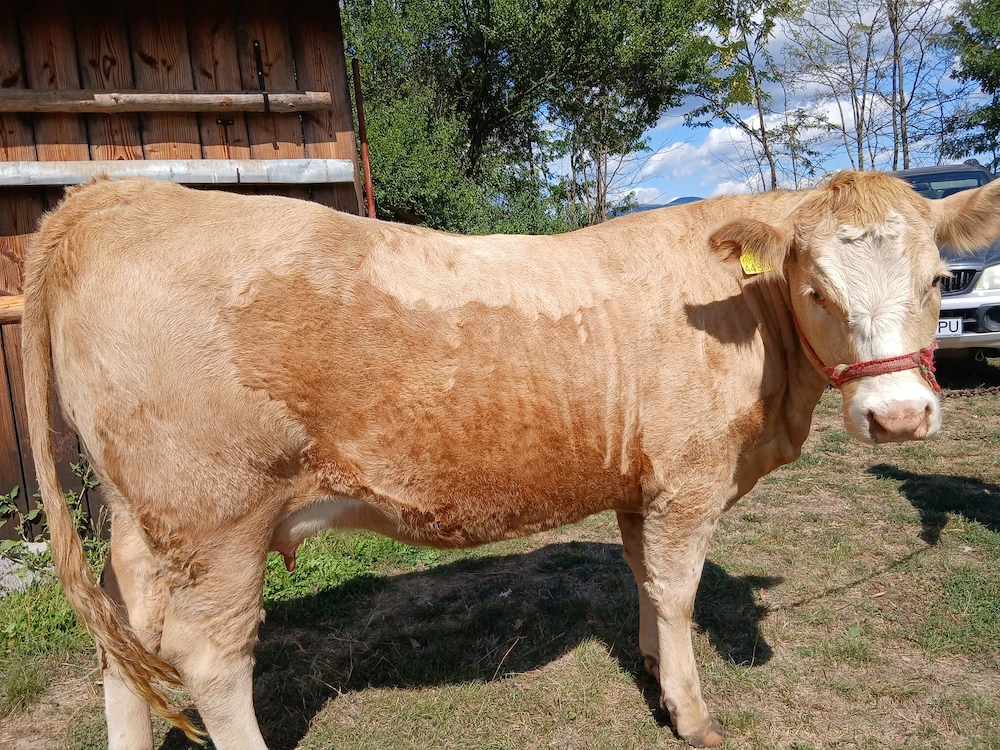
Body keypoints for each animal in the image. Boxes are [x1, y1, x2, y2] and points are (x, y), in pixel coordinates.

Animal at [22, 171, 1000, 749]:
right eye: (814, 287)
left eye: (937, 279)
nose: (900, 416)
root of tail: (115, 193)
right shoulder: (688, 478)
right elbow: (679, 589)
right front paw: (690, 712)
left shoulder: (637, 483)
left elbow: (645, 582)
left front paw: (653, 668)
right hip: (218, 517)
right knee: (209, 659)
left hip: (143, 524)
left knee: (124, 645)